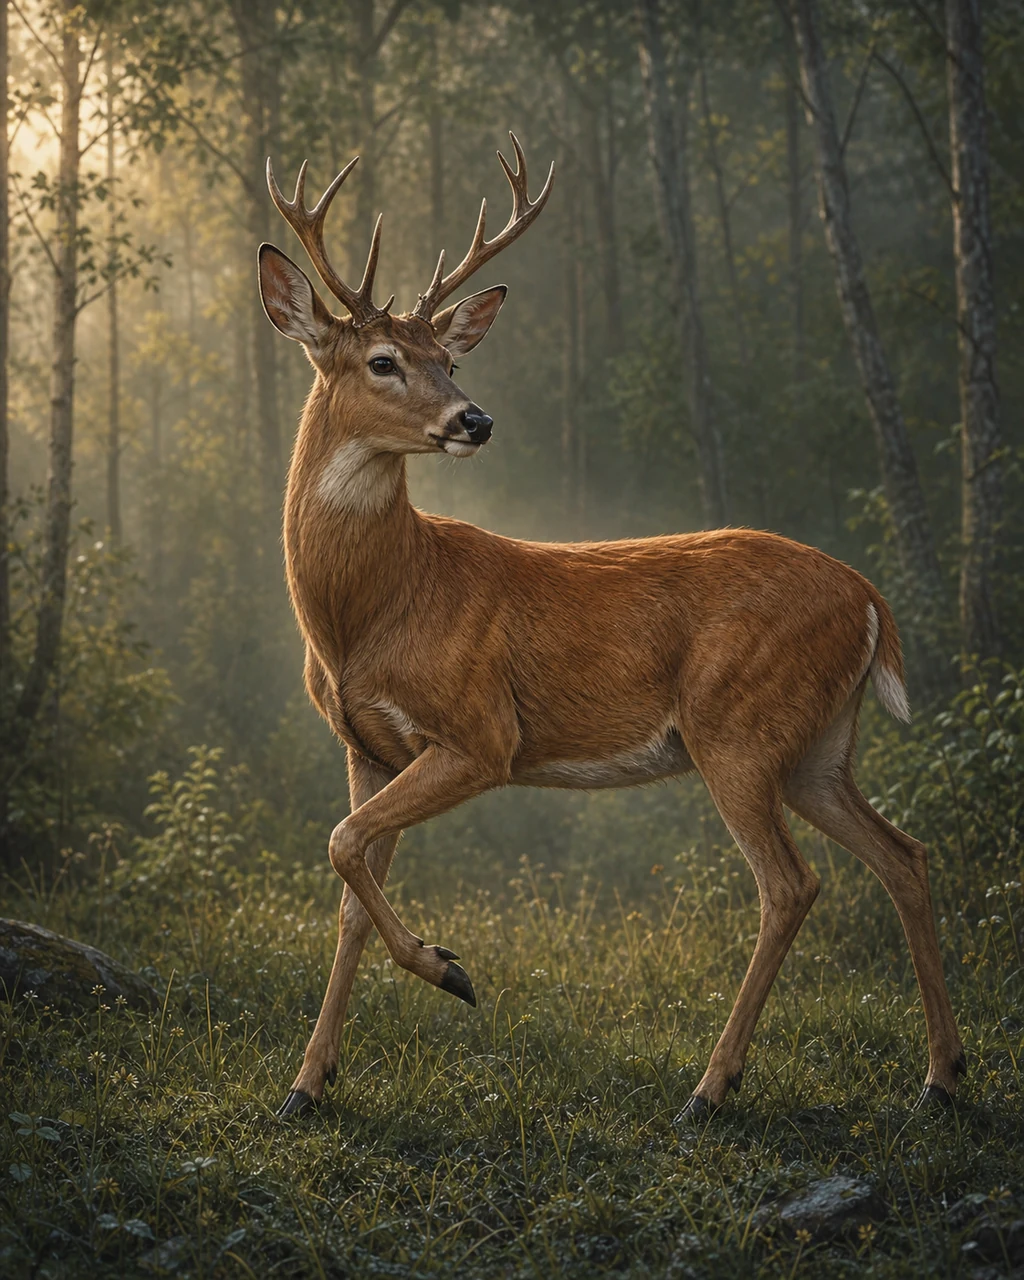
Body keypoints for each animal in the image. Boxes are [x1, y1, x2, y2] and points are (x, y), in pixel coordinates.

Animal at [257, 133, 965, 1121]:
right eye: (385, 361)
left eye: (453, 362)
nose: (475, 418)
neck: (372, 610)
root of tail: (870, 597)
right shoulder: (368, 747)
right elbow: (351, 890)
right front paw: (307, 1084)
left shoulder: (481, 734)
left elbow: (340, 844)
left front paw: (452, 970)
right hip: (820, 745)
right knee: (905, 856)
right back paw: (940, 1076)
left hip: (739, 725)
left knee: (791, 885)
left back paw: (711, 1088)